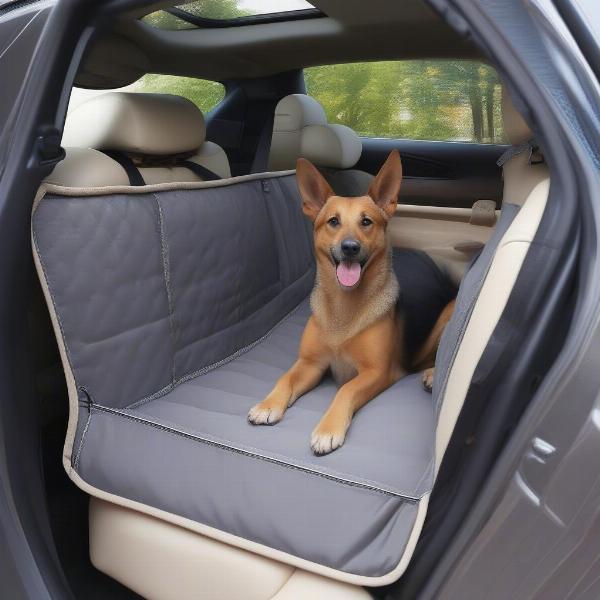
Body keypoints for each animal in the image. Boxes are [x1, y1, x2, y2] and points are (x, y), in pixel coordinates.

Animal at [248, 150, 454, 454]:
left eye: (366, 222)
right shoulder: (310, 363)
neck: (343, 309)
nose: (349, 248)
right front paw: (268, 404)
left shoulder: (376, 373)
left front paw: (328, 429)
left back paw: (431, 373)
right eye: (333, 221)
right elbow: (285, 377)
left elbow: (346, 389)